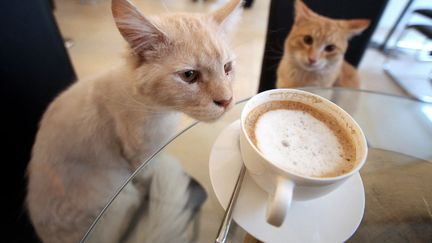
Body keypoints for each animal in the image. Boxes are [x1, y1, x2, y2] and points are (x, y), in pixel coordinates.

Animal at [26, 0, 241, 243]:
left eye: (227, 68)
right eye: (189, 75)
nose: (226, 101)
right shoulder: (142, 157)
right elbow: (148, 178)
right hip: (117, 194)